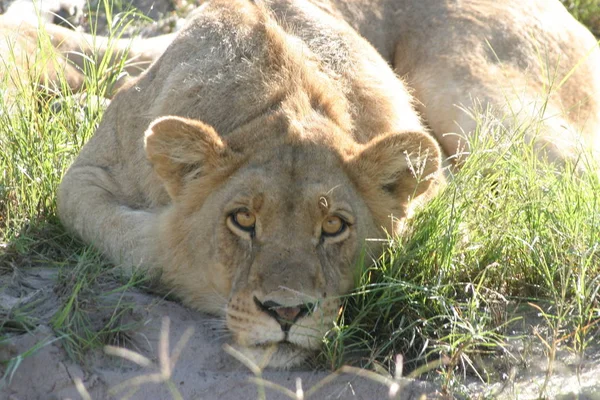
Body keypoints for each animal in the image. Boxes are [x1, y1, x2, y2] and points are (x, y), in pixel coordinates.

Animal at [57, 0, 600, 368]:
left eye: (334, 226)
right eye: (243, 219)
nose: (286, 313)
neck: (283, 98)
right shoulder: (86, 174)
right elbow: (135, 241)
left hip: (484, 97)